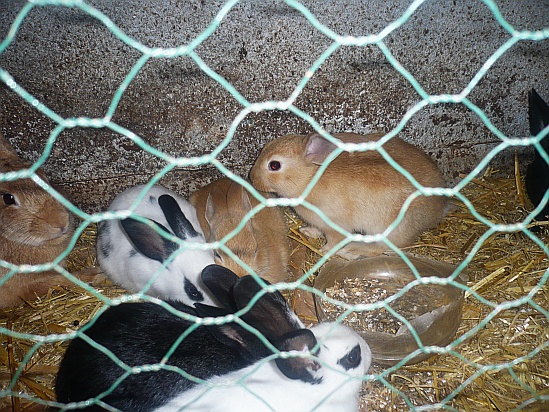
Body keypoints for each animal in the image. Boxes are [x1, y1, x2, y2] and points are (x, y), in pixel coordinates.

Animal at [250, 132, 448, 258]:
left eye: (274, 165)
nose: (251, 178)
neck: (309, 178)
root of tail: (439, 208)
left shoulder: (336, 225)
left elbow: (334, 240)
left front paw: (325, 251)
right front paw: (307, 231)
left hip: (391, 229)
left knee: (381, 248)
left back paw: (351, 251)